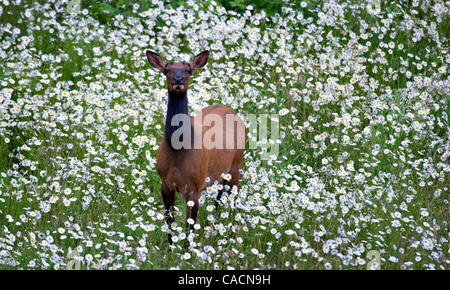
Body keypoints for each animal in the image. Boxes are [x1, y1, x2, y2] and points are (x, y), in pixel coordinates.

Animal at [147, 50, 246, 245]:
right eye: (167, 70)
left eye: (188, 70)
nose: (178, 79)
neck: (178, 150)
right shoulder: (165, 183)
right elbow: (169, 222)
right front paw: (170, 247)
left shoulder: (194, 187)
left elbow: (189, 227)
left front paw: (187, 250)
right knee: (219, 198)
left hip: (237, 165)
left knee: (233, 200)